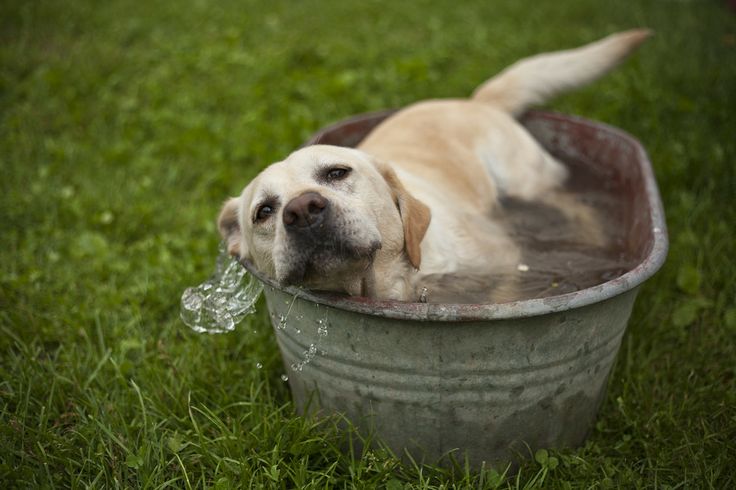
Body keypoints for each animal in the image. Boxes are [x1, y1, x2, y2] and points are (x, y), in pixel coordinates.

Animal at [218, 30, 648, 302]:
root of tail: (475, 100)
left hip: (528, 182)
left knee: (573, 207)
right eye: (264, 212)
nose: (303, 210)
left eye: (337, 173)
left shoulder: (507, 261)